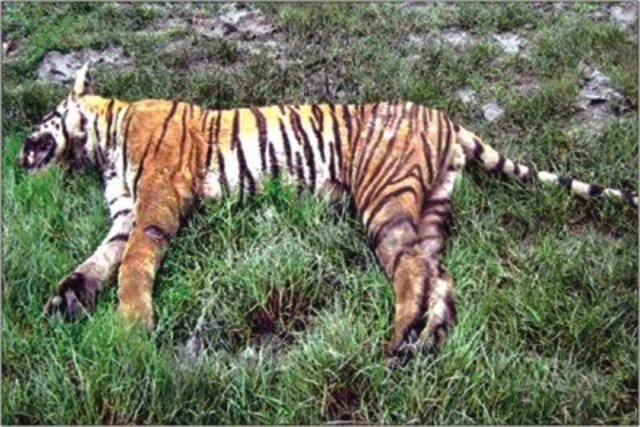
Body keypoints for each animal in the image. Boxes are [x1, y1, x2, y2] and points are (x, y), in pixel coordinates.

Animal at [20, 63, 637, 358]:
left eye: (45, 114)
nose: (20, 148)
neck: (100, 144)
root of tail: (447, 118)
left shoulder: (156, 198)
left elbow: (133, 263)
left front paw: (130, 329)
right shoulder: (124, 212)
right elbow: (102, 256)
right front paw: (69, 297)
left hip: (384, 200)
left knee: (412, 271)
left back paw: (396, 341)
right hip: (430, 209)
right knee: (440, 275)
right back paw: (423, 343)